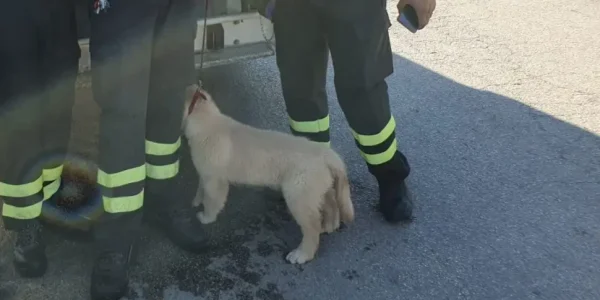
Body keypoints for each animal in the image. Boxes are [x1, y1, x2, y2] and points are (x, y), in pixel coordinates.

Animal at [180, 85, 354, 264]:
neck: (206, 119)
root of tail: (328, 154)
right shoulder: (205, 172)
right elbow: (201, 188)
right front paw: (196, 201)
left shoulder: (214, 179)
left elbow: (211, 200)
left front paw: (206, 217)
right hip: (315, 189)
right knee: (330, 202)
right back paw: (329, 225)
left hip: (298, 194)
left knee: (312, 226)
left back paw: (302, 254)